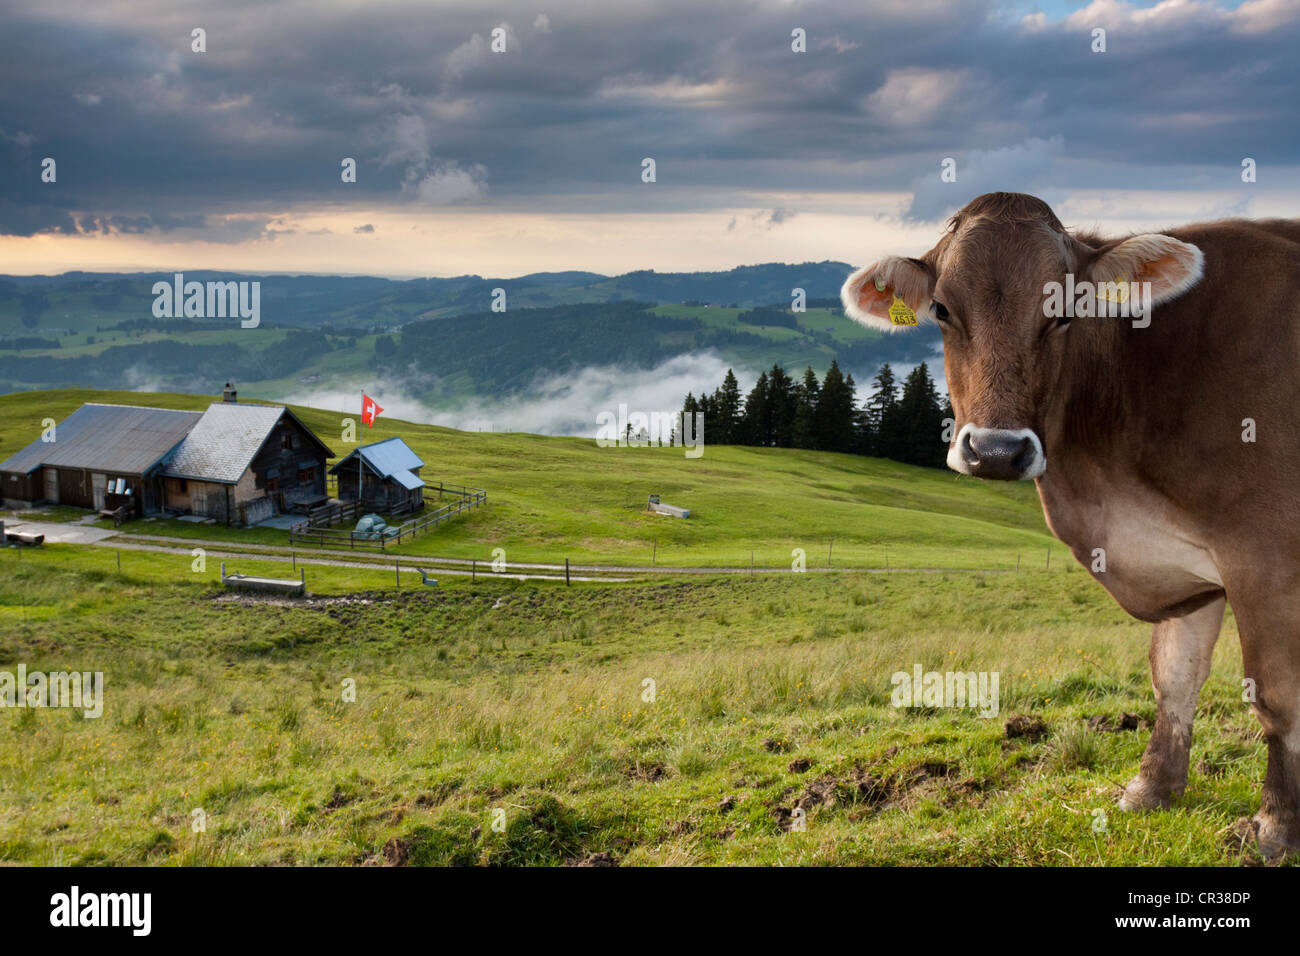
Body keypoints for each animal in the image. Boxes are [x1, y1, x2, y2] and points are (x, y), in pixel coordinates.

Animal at [842, 191, 1300, 858]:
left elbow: (1276, 694)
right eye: (942, 309)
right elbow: (1174, 676)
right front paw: (1150, 789)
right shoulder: (1187, 566)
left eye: (1063, 312)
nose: (997, 451)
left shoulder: (1266, 557)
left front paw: (1275, 827)